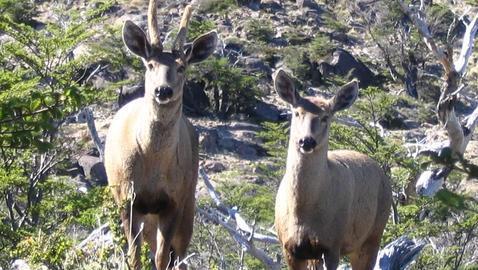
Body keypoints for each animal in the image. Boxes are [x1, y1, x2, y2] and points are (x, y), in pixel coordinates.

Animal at [104, 1, 218, 268]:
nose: (163, 90)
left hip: (189, 201)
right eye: (150, 64)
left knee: (179, 255)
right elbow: (134, 256)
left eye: (181, 66)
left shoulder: (173, 202)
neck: (152, 162)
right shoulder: (127, 199)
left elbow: (162, 257)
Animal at [272, 70, 392, 270]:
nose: (307, 141)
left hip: (373, 233)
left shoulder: (332, 244)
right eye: (296, 113)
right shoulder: (289, 247)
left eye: (325, 117)